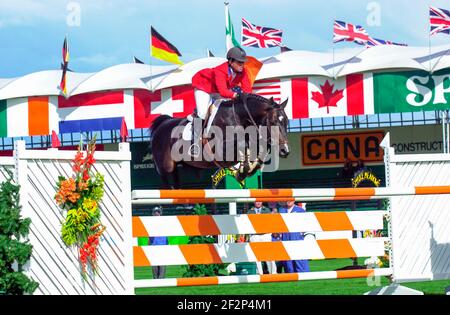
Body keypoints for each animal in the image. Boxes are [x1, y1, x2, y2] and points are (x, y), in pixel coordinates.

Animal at [149, 92, 290, 189]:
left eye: (287, 122)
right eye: (273, 122)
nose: (285, 151)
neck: (239, 117)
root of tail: (162, 125)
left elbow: (258, 151)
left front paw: (249, 169)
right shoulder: (221, 151)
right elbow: (243, 147)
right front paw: (242, 172)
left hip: (175, 166)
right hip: (165, 166)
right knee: (165, 181)